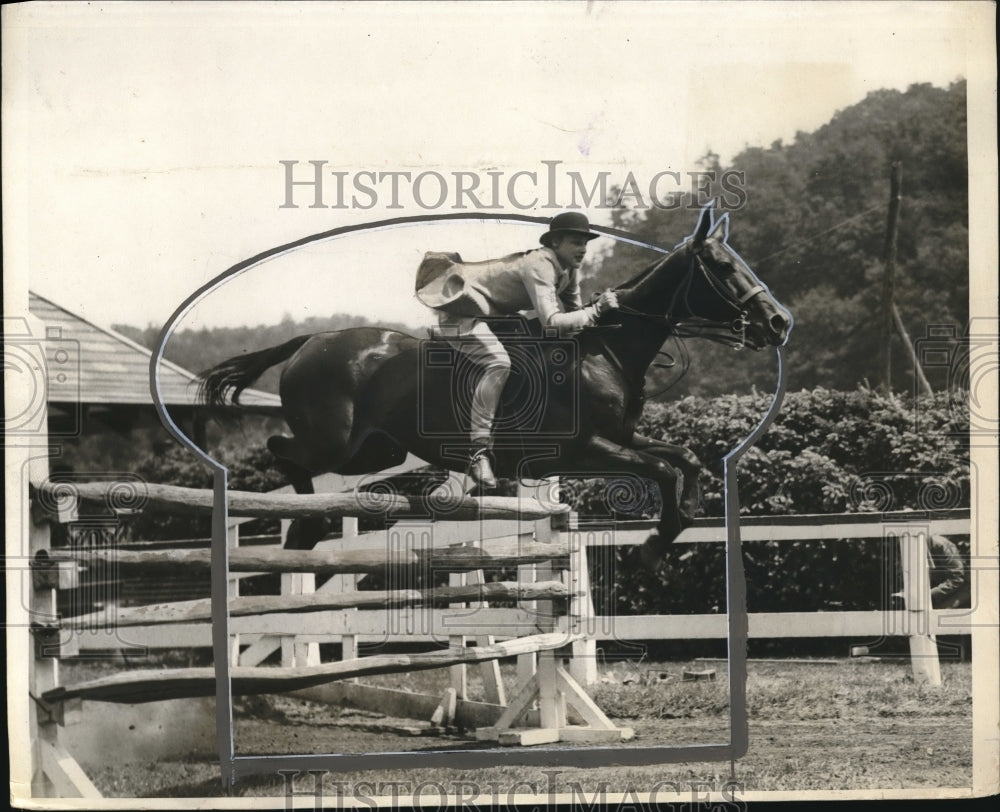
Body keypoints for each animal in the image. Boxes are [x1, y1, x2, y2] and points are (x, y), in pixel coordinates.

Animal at [197, 203, 788, 560]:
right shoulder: (584, 448)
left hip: (376, 450)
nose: (780, 322)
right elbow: (664, 468)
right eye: (722, 267)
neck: (605, 351)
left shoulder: (620, 438)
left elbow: (683, 457)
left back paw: (312, 527)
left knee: (305, 455)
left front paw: (680, 525)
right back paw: (306, 525)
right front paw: (657, 541)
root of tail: (308, 342)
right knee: (283, 448)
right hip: (334, 441)